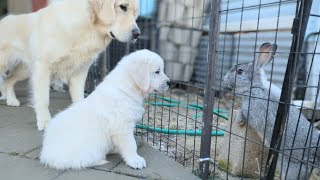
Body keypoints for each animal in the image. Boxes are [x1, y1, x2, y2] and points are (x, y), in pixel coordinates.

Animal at [0, 0, 140, 130]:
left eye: (135, 13)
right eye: (122, 7)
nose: (137, 34)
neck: (87, 27)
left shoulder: (79, 73)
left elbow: (79, 98)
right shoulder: (42, 68)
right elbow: (43, 99)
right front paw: (45, 122)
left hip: (25, 71)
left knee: (8, 80)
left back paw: (11, 100)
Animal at [40, 49, 171, 170]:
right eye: (157, 71)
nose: (169, 82)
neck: (125, 89)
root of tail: (47, 154)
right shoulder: (123, 127)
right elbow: (131, 144)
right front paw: (135, 160)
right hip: (91, 148)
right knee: (79, 162)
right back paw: (101, 160)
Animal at [222, 42, 320, 180]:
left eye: (240, 72)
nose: (224, 79)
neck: (255, 87)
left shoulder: (251, 108)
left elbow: (244, 114)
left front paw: (239, 121)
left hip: (291, 166)